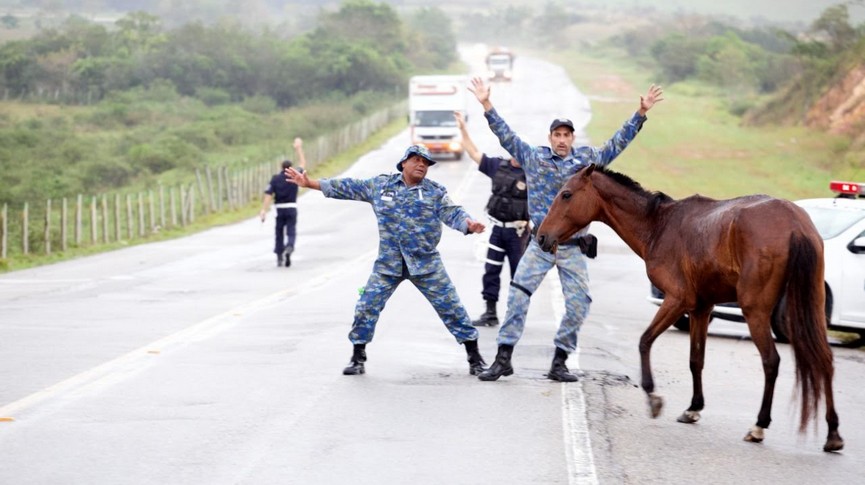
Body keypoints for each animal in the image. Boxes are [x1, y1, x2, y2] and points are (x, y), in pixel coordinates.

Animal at [536, 164, 840, 450]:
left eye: (566, 194)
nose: (541, 237)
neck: (659, 225)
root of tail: (794, 223)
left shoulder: (676, 300)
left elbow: (645, 341)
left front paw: (653, 396)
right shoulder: (701, 309)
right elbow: (696, 360)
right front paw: (694, 408)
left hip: (755, 312)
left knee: (771, 361)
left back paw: (759, 425)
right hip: (810, 307)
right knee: (824, 358)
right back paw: (833, 432)